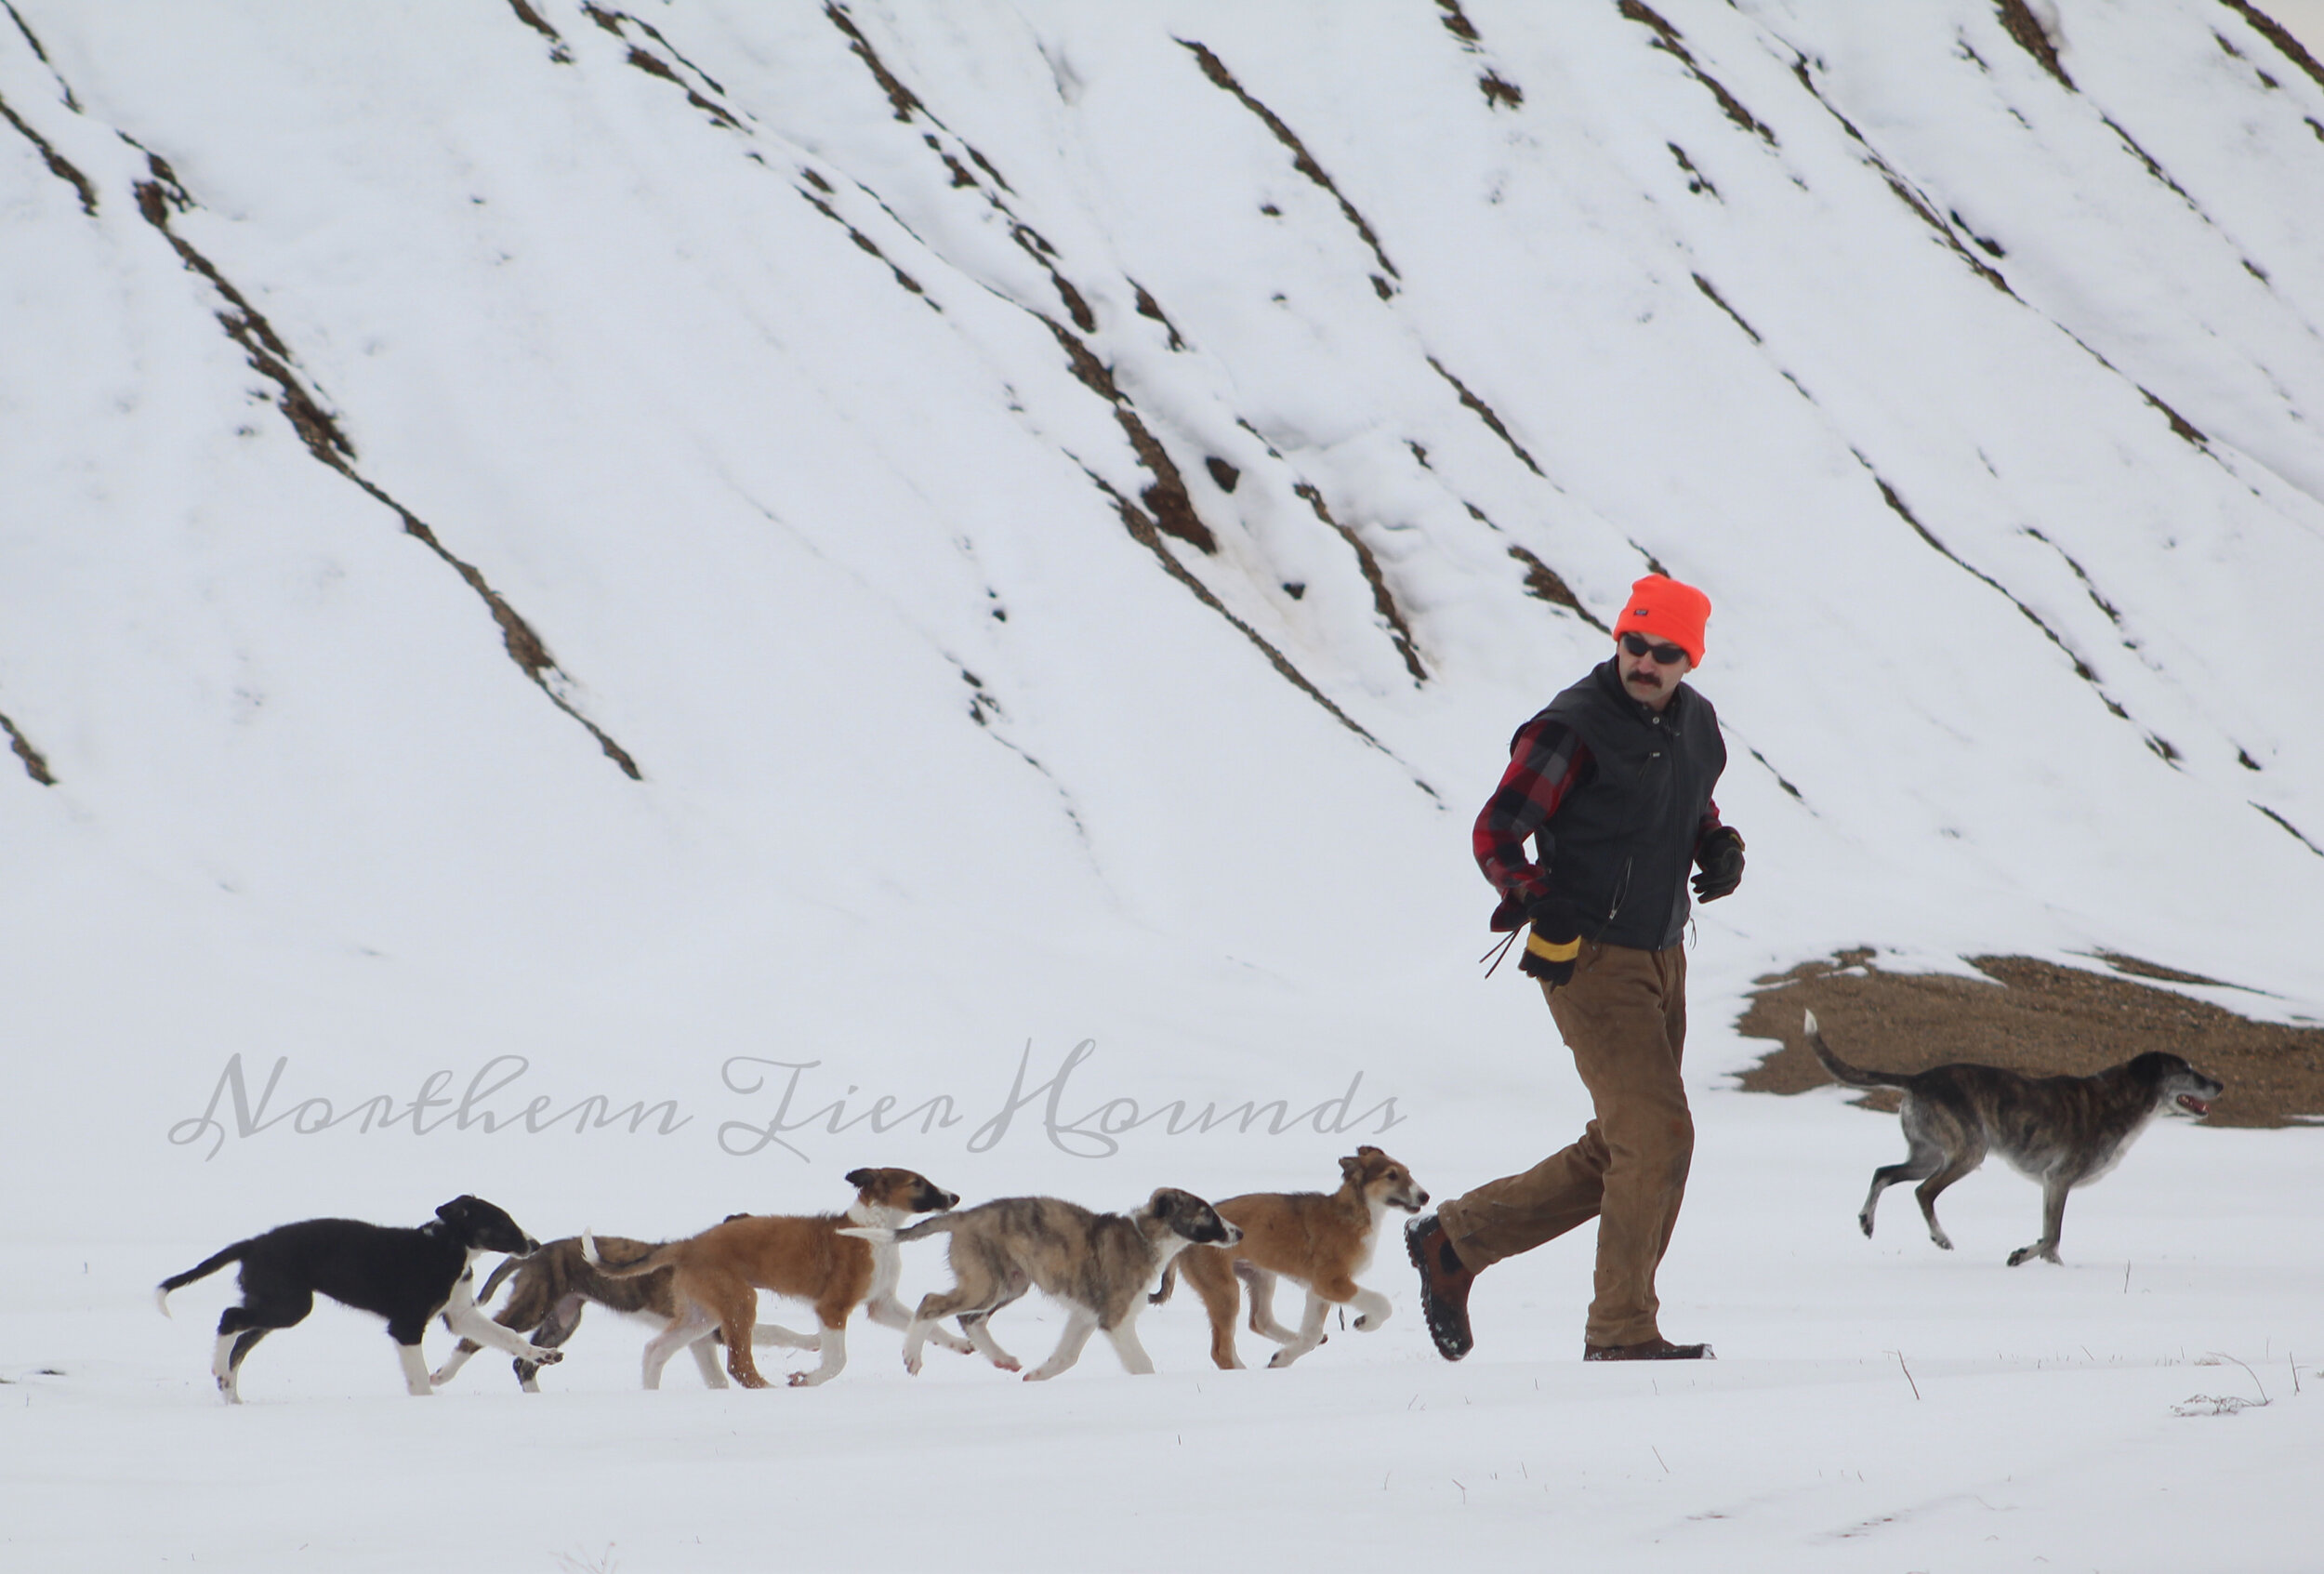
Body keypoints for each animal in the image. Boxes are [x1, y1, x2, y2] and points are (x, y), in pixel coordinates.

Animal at [590, 1162, 981, 1385]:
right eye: (917, 1182)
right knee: (739, 1367)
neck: (871, 1231)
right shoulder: (832, 1307)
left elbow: (926, 1322)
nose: (955, 1197)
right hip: (739, 1301)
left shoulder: (880, 1304)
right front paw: (808, 1379)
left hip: (703, 1313)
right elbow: (836, 1361)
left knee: (656, 1350)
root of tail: (687, 1244)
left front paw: (957, 1344)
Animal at [855, 1190, 1246, 1376]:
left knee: (970, 1319)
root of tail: (964, 1216)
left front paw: (1038, 1376)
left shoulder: (1085, 1316)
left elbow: (1066, 1357)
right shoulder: (1115, 1319)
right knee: (931, 1302)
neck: (1146, 1237)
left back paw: (1004, 1360)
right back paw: (912, 1356)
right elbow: (1141, 1364)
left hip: (1011, 1282)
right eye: (1206, 1213)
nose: (1239, 1233)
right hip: (987, 1282)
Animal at [1803, 1009, 2222, 1264]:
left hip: (1928, 1153)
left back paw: (1867, 1221)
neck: (2123, 1097)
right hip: (1968, 1152)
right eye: (2186, 1069)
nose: (2219, 1084)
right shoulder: (2059, 1179)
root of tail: (1918, 1079)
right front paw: (2021, 1256)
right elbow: (2051, 1237)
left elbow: (2052, 1239)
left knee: (1884, 1173)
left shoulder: (2051, 1185)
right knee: (1923, 1192)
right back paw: (1941, 1238)